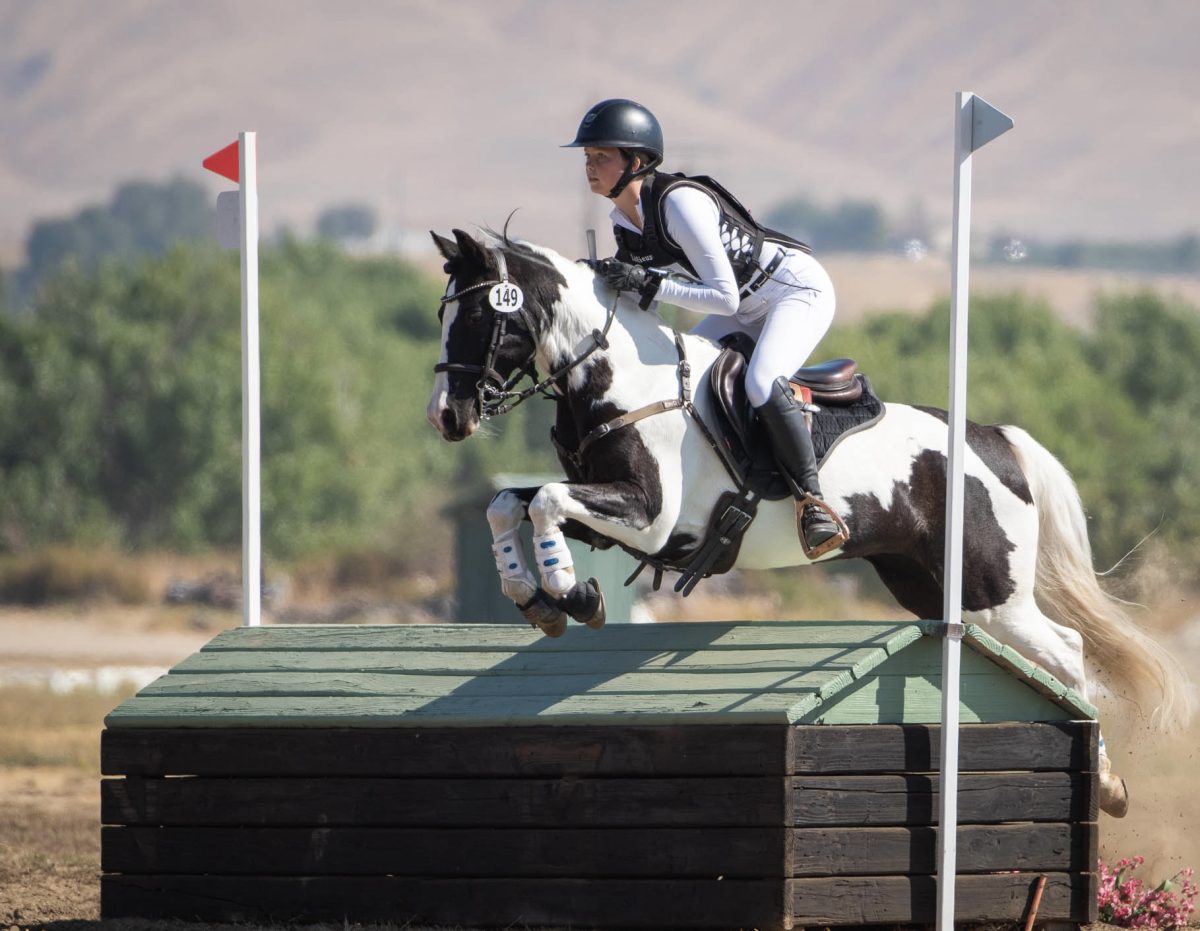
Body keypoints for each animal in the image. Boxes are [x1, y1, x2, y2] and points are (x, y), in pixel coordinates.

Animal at [424, 225, 1190, 815]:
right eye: (442, 317)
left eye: (482, 318)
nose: (447, 417)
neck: (623, 382)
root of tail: (994, 438)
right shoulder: (610, 509)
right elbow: (510, 502)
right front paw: (534, 595)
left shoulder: (649, 517)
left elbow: (547, 502)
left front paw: (571, 592)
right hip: (926, 587)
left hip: (990, 590)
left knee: (1067, 650)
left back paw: (1107, 781)